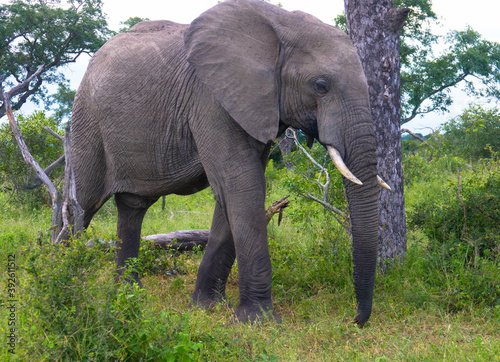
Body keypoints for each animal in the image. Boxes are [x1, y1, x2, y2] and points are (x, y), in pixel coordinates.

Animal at [70, 0, 384, 326]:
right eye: (321, 86)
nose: (356, 320)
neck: (281, 26)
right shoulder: (210, 100)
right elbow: (242, 186)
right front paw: (260, 321)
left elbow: (232, 193)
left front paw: (207, 307)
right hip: (87, 121)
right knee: (82, 203)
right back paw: (65, 278)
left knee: (132, 208)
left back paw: (129, 295)